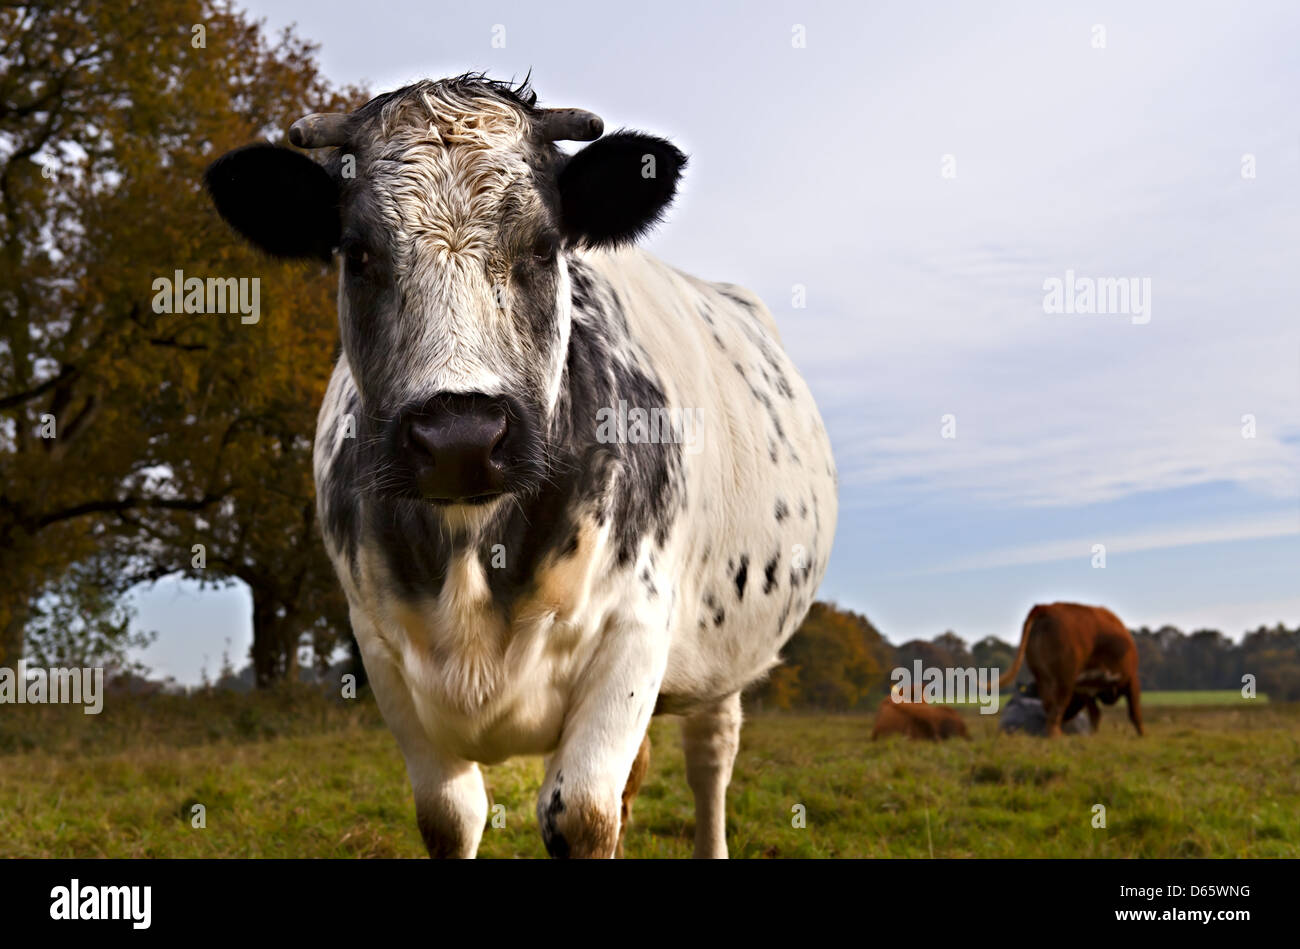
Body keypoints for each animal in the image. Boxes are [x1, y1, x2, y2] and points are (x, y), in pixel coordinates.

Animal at [202, 75, 832, 857]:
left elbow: (583, 813)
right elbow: (451, 814)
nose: (460, 436)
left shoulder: (635, 631)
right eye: (358, 253)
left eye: (541, 246)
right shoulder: (379, 648)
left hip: (720, 658)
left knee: (709, 758)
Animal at [998, 603, 1144, 733]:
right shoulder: (1132, 679)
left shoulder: (1087, 690)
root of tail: (1047, 607)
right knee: (1055, 712)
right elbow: (1135, 714)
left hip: (1043, 677)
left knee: (1050, 709)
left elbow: (1096, 716)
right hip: (1063, 680)